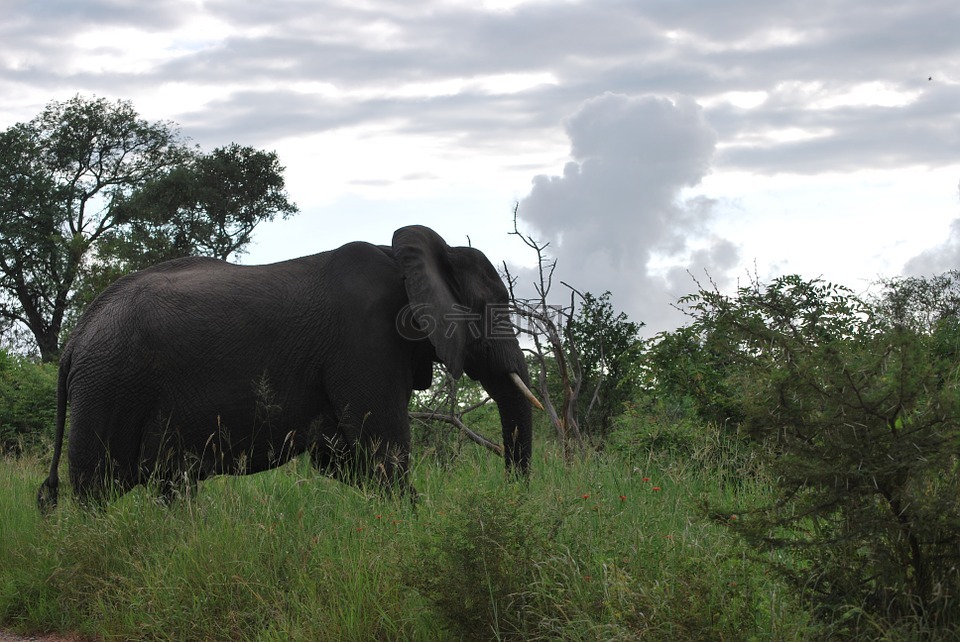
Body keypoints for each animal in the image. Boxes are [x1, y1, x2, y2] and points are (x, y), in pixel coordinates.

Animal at [37, 225, 538, 509]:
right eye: (495, 307)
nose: (512, 499)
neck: (410, 256)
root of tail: (76, 338)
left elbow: (341, 458)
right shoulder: (365, 340)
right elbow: (383, 452)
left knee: (172, 486)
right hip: (108, 387)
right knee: (97, 489)